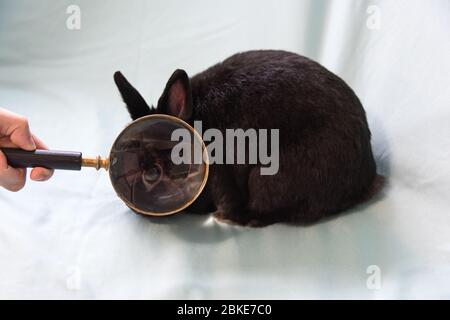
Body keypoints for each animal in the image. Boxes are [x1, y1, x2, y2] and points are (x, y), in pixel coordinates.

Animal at [113, 49, 384, 228]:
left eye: (152, 174)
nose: (133, 207)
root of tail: (366, 176)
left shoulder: (221, 175)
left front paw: (224, 216)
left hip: (266, 177)